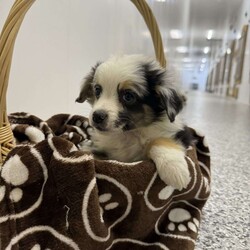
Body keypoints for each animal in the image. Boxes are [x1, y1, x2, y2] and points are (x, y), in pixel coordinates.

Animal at [75, 54, 192, 190]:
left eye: (128, 96)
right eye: (97, 90)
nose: (97, 116)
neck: (128, 134)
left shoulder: (181, 134)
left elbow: (159, 141)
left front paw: (175, 170)